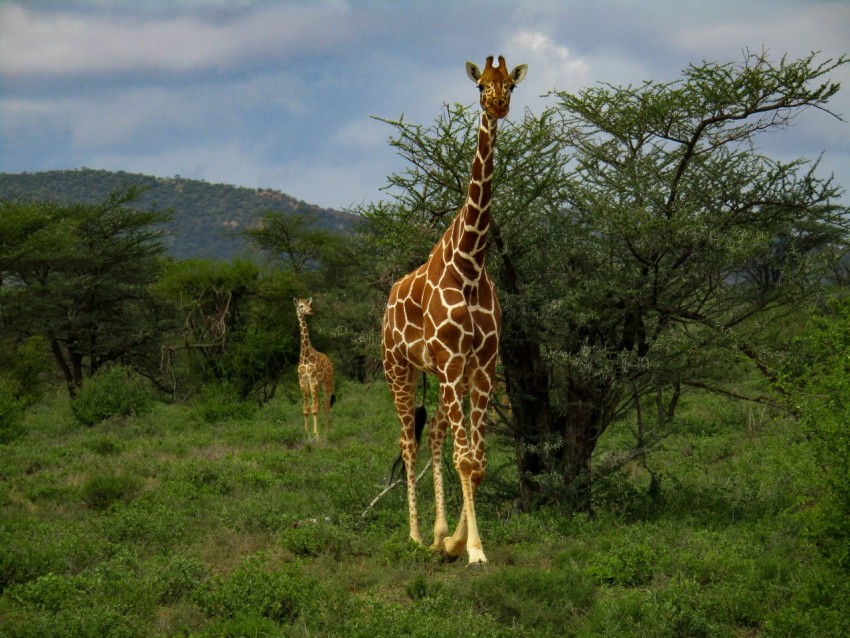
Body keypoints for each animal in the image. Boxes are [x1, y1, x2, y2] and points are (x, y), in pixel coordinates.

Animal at [290, 298, 332, 438]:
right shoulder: (303, 382)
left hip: (327, 382)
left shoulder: (313, 381)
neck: (305, 356)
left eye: (309, 304)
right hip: (317, 384)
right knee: (320, 404)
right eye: (301, 306)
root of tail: (328, 359)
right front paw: (306, 431)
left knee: (326, 405)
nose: (311, 311)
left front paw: (316, 433)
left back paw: (328, 431)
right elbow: (306, 408)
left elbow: (314, 408)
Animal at [380, 53, 524, 564]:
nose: (498, 105)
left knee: (436, 436)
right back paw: (414, 535)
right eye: (481, 86)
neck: (470, 261)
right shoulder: (449, 359)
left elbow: (476, 460)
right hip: (399, 369)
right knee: (408, 441)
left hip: (440, 376)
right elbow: (466, 457)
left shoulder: (481, 363)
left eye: (511, 86)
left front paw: (459, 541)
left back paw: (439, 534)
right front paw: (475, 549)